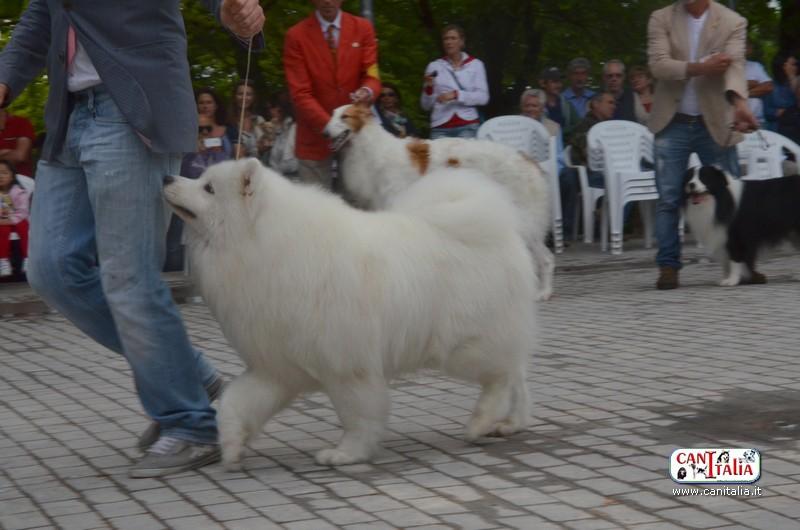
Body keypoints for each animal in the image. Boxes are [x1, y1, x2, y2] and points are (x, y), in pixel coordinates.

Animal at [163, 158, 536, 469]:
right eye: (200, 179)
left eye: (208, 188)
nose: (168, 177)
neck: (265, 247)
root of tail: (503, 232)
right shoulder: (276, 368)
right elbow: (236, 403)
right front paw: (231, 445)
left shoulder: (347, 367)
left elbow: (358, 415)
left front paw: (346, 454)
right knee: (517, 373)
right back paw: (509, 424)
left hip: (465, 347)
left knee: (502, 377)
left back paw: (481, 422)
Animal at [324, 103, 554, 301]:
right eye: (332, 114)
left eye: (345, 117)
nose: (324, 133)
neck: (373, 152)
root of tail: (528, 160)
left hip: (526, 222)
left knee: (546, 259)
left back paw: (544, 292)